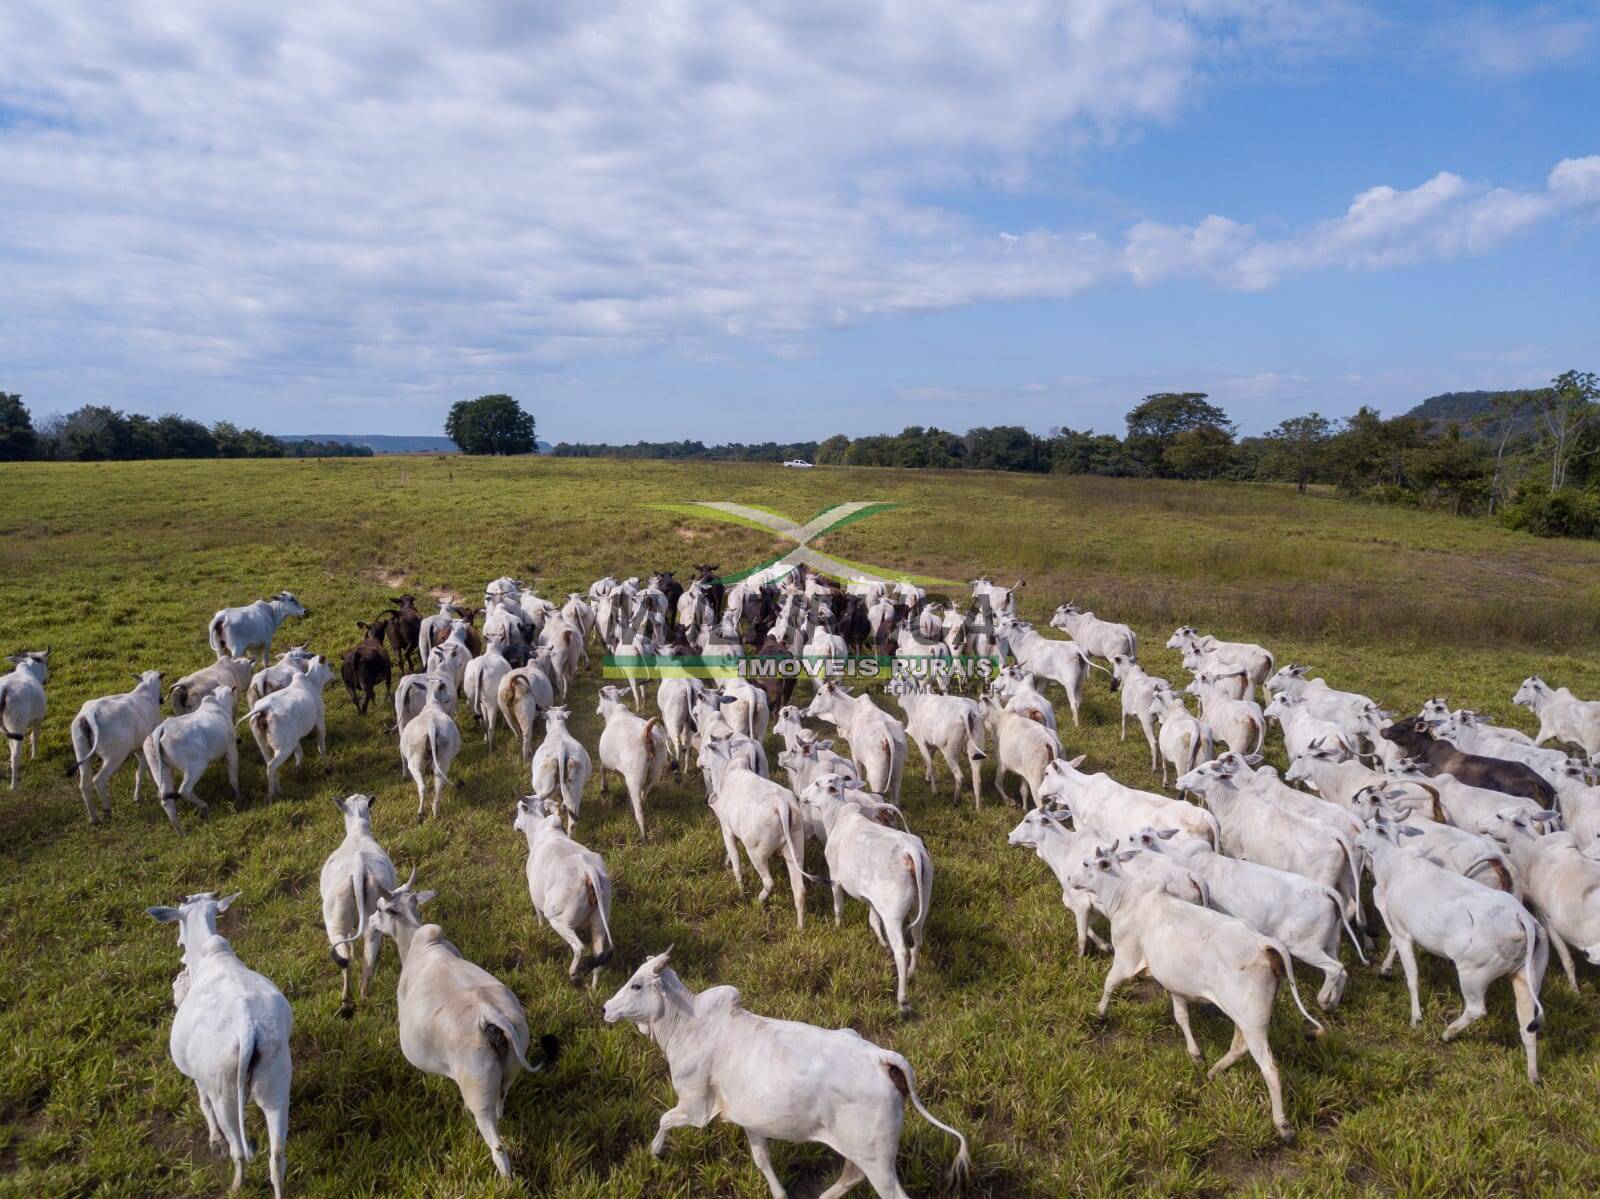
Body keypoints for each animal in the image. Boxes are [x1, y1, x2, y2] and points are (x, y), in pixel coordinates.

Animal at [65, 662, 160, 826]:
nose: (161, 700)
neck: (146, 693)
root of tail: (89, 715)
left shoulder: (138, 748)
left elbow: (144, 767)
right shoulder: (144, 745)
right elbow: (140, 772)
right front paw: (137, 797)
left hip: (81, 751)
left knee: (84, 784)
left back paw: (94, 819)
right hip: (114, 756)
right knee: (99, 780)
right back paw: (107, 811)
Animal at [147, 896, 291, 1190]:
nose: (179, 950)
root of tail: (247, 1027)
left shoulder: (199, 1078)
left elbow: (203, 1104)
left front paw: (215, 1141)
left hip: (224, 1092)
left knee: (240, 1151)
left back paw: (236, 1186)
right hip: (276, 1081)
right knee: (277, 1157)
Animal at [601, 947, 966, 1197]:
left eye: (636, 985)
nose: (605, 1008)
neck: (687, 1025)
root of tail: (880, 1057)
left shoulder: (695, 1107)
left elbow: (664, 1120)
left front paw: (655, 1152)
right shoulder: (750, 1119)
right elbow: (762, 1159)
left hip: (878, 1161)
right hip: (864, 1153)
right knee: (851, 1175)